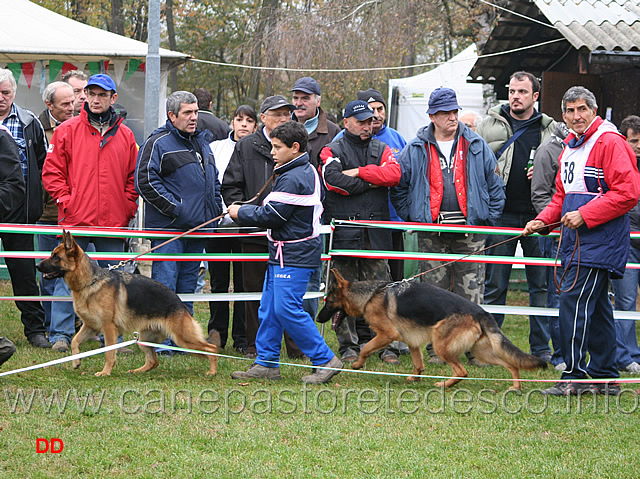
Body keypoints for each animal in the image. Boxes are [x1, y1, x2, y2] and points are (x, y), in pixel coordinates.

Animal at [36, 231, 219, 376]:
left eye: (55, 257)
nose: (37, 265)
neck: (90, 282)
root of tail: (180, 302)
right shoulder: (90, 326)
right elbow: (75, 341)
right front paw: (76, 361)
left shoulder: (108, 328)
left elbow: (109, 352)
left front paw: (105, 372)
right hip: (145, 338)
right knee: (153, 361)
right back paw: (136, 371)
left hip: (183, 338)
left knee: (212, 348)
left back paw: (212, 372)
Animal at [318, 270, 548, 390]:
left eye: (328, 302)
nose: (318, 318)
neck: (371, 295)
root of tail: (480, 312)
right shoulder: (411, 341)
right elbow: (418, 363)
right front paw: (415, 378)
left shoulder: (387, 335)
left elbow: (366, 348)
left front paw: (357, 364)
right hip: (481, 351)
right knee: (511, 364)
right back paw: (515, 386)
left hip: (441, 345)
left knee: (462, 371)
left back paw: (444, 385)